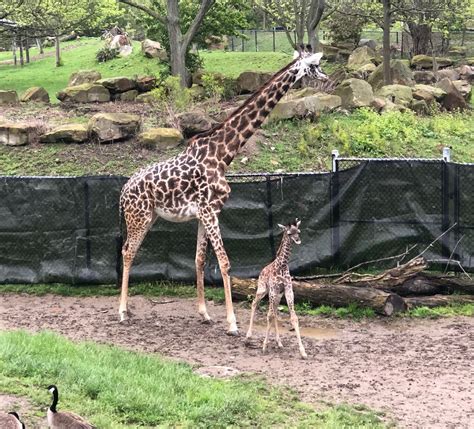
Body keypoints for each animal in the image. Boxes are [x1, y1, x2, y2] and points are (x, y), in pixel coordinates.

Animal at [118, 45, 328, 332]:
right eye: (315, 66)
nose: (327, 78)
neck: (223, 154)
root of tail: (122, 193)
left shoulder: (205, 213)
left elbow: (199, 260)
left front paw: (204, 314)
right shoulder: (209, 211)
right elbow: (225, 262)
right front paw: (232, 323)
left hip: (148, 217)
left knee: (128, 250)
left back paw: (127, 308)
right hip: (137, 217)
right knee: (128, 252)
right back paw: (121, 312)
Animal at [244, 217, 308, 358]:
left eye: (298, 231)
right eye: (289, 233)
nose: (298, 240)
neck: (282, 266)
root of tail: (261, 271)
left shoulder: (288, 291)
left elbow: (293, 317)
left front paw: (303, 351)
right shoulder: (273, 291)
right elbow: (269, 316)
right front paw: (264, 346)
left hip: (278, 295)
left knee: (275, 313)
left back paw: (279, 342)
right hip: (263, 290)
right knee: (255, 304)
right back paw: (248, 336)